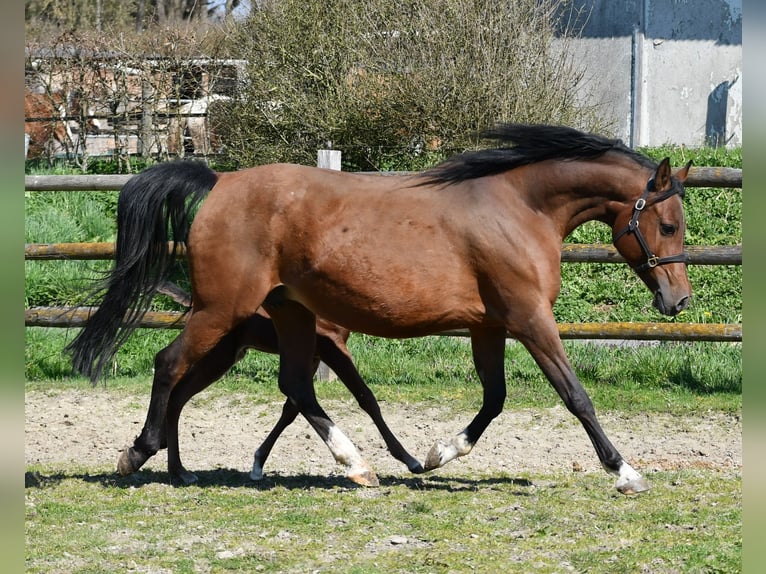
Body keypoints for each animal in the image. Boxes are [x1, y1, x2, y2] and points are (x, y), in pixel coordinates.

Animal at [66, 123, 692, 494]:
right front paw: (626, 472)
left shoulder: (490, 326)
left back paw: (355, 463)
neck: (519, 209)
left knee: (295, 386)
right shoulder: (529, 319)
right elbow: (574, 395)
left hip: (288, 315)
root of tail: (219, 182)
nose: (678, 300)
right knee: (170, 365)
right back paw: (140, 454)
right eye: (667, 224)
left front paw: (437, 455)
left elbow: (493, 400)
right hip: (222, 311)